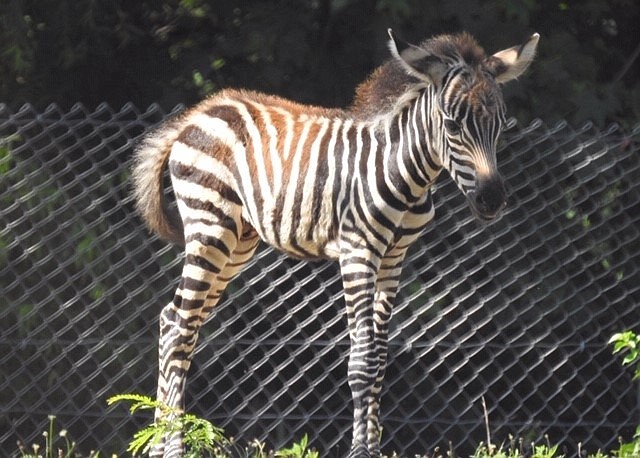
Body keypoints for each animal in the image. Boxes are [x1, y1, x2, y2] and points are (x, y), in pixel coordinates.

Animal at [131, 30, 540, 456]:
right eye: (451, 123)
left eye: (501, 124)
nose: (492, 199)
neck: (404, 171)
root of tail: (199, 112)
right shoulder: (358, 251)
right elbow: (362, 360)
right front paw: (360, 451)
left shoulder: (394, 257)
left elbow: (379, 358)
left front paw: (373, 448)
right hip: (210, 227)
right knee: (180, 330)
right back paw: (172, 446)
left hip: (237, 243)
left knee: (173, 320)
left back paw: (159, 441)